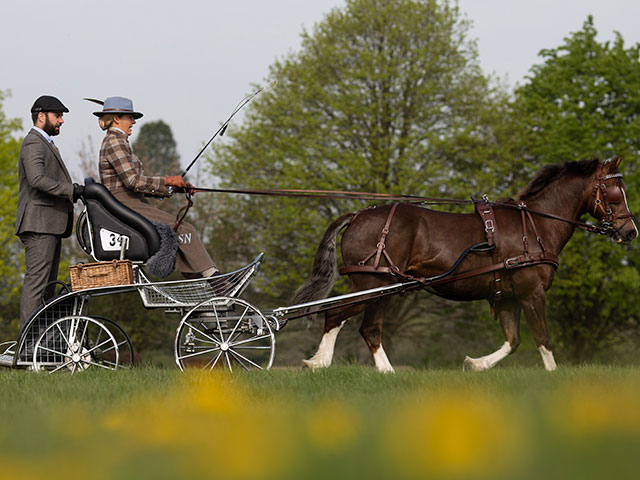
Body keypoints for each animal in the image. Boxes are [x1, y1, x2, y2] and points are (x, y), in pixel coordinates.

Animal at [294, 158, 636, 372]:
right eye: (614, 194)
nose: (630, 231)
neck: (535, 224)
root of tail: (359, 215)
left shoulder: (508, 298)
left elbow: (513, 341)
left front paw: (475, 363)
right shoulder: (532, 292)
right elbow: (543, 339)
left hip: (382, 288)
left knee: (368, 329)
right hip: (371, 285)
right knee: (337, 315)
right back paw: (320, 362)